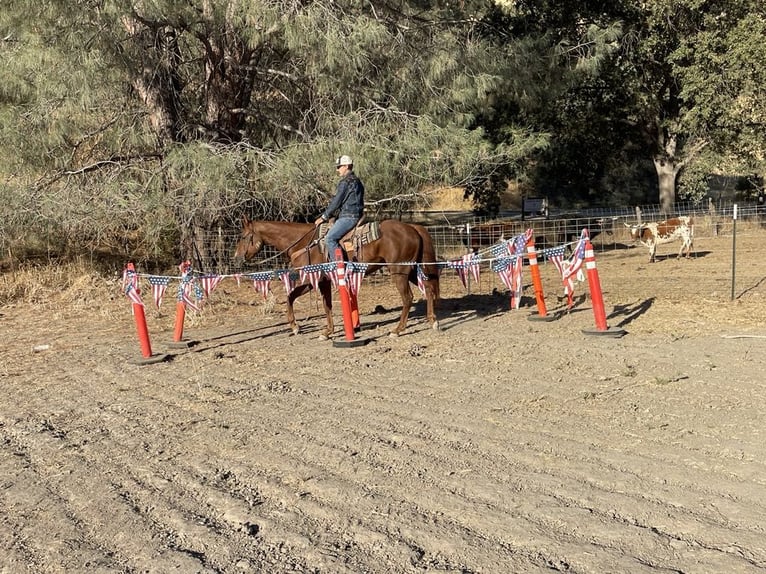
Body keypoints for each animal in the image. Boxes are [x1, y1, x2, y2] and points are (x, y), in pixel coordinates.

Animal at [234, 218, 440, 340]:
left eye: (243, 236)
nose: (236, 257)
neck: (303, 243)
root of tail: (412, 227)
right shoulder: (322, 281)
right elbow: (325, 305)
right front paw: (327, 332)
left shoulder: (311, 279)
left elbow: (290, 297)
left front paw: (295, 327)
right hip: (410, 271)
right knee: (429, 289)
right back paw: (433, 321)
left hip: (399, 272)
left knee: (408, 298)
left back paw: (397, 330)